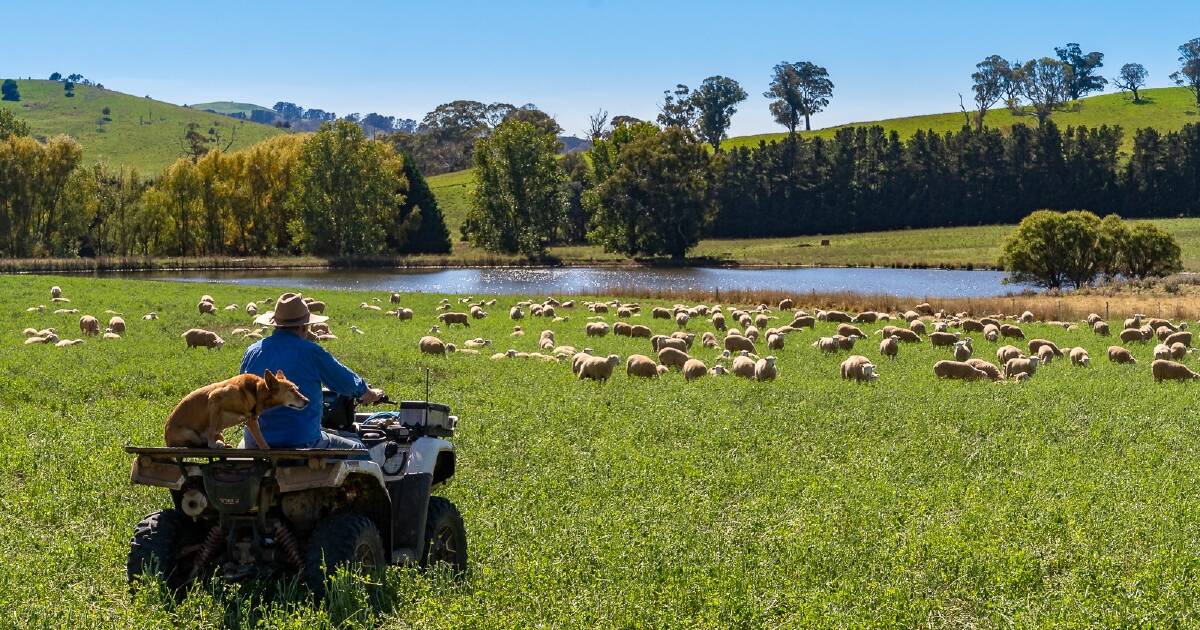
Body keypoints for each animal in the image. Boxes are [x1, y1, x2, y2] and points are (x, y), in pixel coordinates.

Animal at [165, 372, 309, 448]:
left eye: (296, 388)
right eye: (291, 390)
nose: (307, 401)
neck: (256, 391)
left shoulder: (251, 420)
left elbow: (262, 441)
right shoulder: (214, 398)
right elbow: (211, 430)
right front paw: (212, 444)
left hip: (220, 433)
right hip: (189, 433)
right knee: (198, 442)